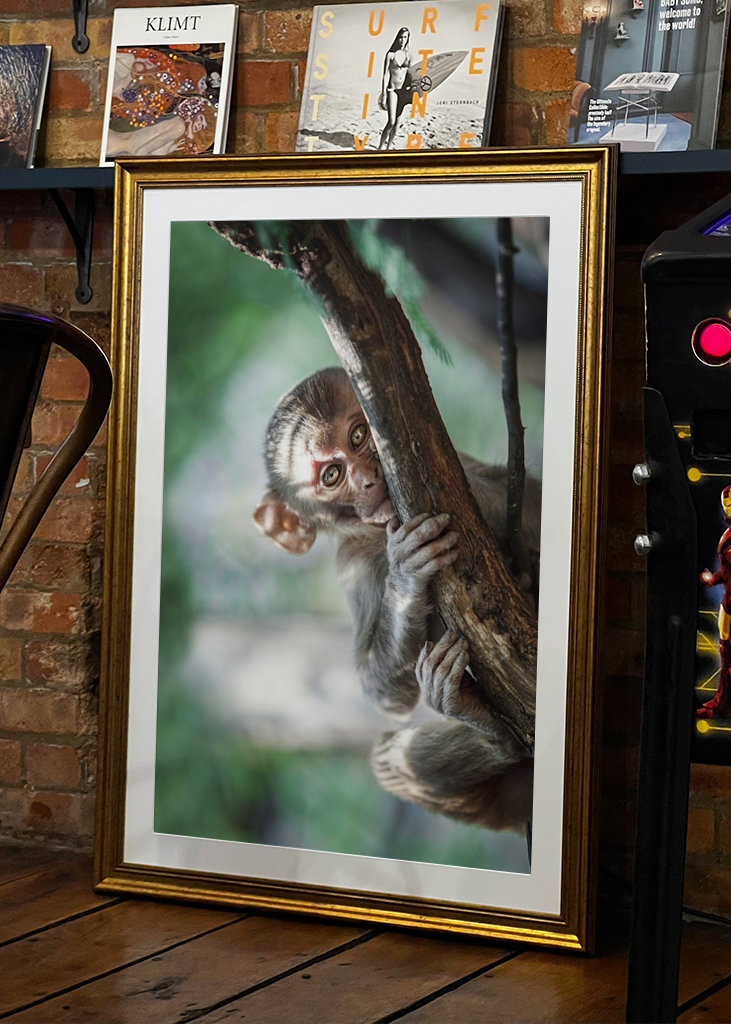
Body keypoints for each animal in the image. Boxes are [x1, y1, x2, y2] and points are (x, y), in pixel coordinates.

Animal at [254, 366, 539, 834]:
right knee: (389, 761)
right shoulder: (353, 567)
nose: (370, 478)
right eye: (331, 476)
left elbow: (530, 499)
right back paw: (487, 731)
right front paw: (406, 577)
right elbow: (384, 693)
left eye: (358, 436)